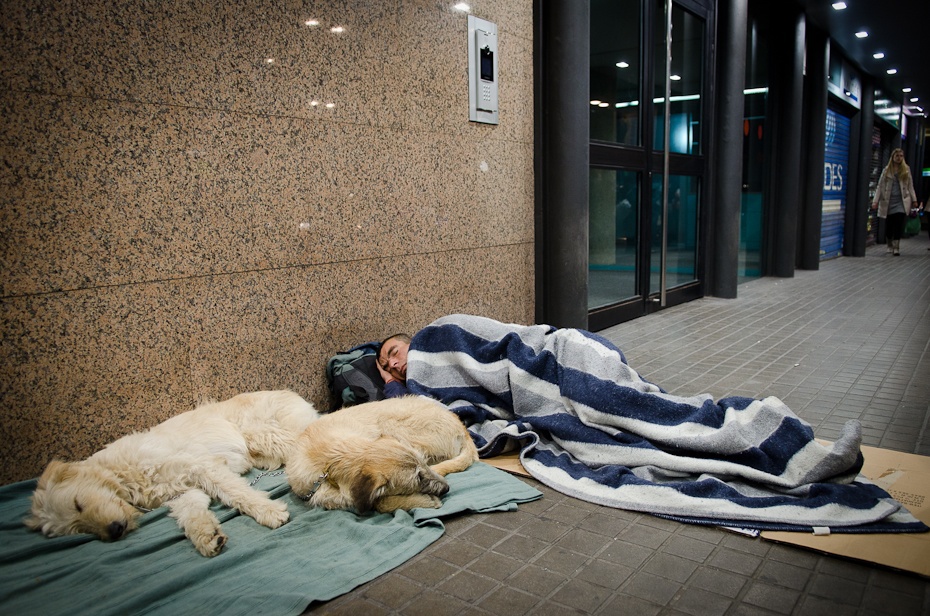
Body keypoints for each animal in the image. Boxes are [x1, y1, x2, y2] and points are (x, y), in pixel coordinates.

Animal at [25, 390, 320, 560]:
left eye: (78, 503)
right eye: (77, 530)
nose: (115, 531)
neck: (122, 474)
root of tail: (293, 394)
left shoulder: (202, 465)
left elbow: (238, 493)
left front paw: (269, 511)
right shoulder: (183, 494)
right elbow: (192, 517)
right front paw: (208, 538)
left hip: (263, 434)